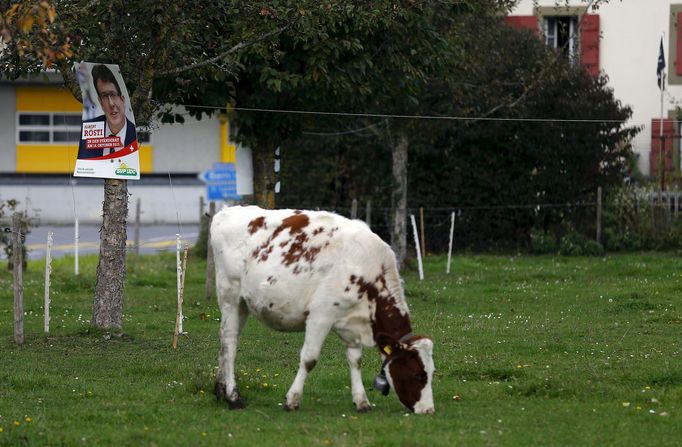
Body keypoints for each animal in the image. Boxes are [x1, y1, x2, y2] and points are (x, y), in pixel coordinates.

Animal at [210, 206, 432, 416]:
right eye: (418, 374)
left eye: (432, 372)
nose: (428, 410)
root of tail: (227, 211)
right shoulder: (320, 315)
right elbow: (309, 359)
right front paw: (292, 400)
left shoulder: (351, 322)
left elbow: (355, 360)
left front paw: (362, 401)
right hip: (230, 294)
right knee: (230, 342)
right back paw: (233, 397)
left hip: (243, 304)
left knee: (225, 339)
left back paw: (220, 390)